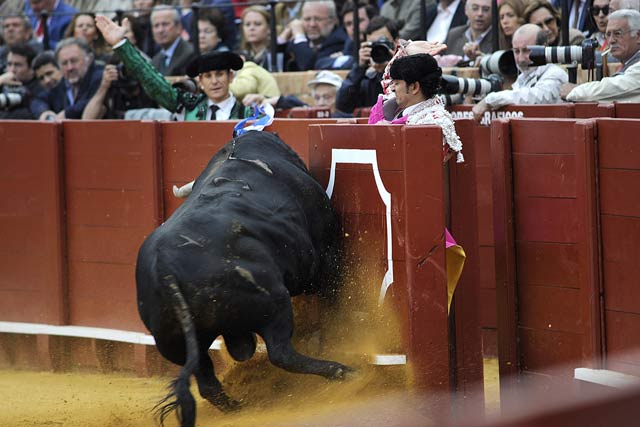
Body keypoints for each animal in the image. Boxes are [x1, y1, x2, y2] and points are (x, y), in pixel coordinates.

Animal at [135, 132, 352, 426]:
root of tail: (165, 270)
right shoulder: (328, 258)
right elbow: (332, 297)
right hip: (275, 303)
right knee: (281, 353)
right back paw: (340, 370)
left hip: (176, 343)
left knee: (207, 383)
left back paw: (239, 408)